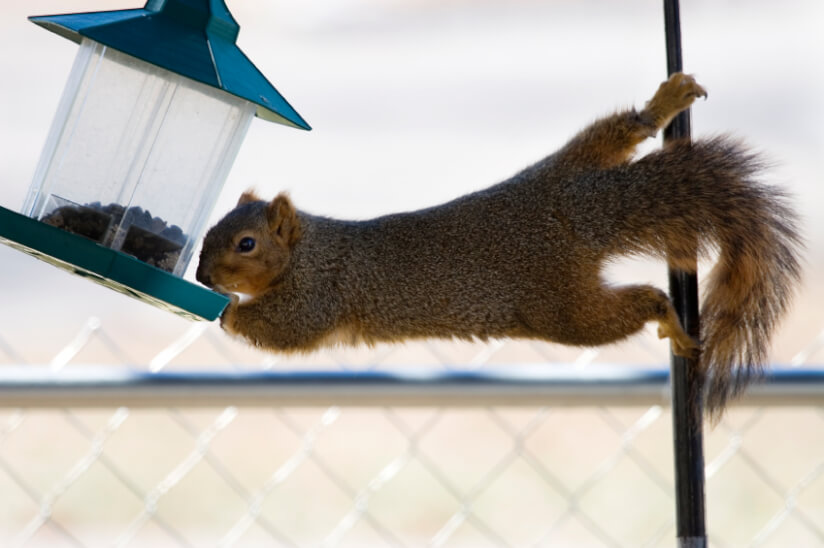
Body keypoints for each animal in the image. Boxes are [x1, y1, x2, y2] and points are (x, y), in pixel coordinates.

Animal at [196, 73, 800, 416]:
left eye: (246, 243)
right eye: (209, 233)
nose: (202, 277)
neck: (307, 250)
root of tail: (583, 215)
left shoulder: (319, 292)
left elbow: (286, 330)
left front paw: (227, 310)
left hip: (564, 311)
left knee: (637, 303)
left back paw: (670, 317)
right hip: (566, 168)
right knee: (620, 131)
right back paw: (663, 101)